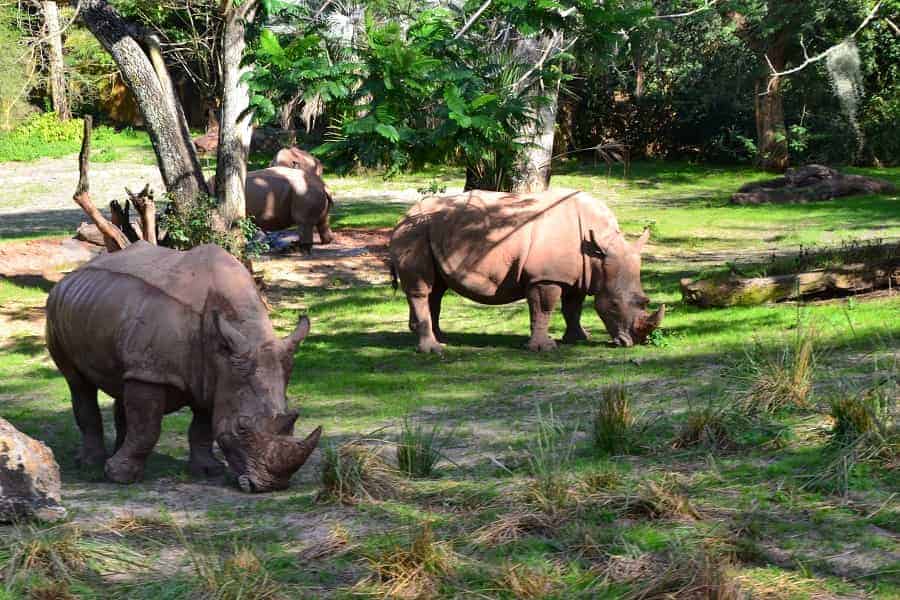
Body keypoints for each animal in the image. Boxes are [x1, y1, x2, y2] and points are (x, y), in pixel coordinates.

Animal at [45, 241, 322, 490]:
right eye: (241, 428)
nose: (272, 485)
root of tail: (74, 273)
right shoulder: (154, 371)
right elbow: (147, 427)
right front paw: (119, 477)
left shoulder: (217, 375)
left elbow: (202, 427)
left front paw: (208, 471)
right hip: (55, 308)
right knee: (79, 384)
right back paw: (90, 464)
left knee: (123, 383)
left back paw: (115, 453)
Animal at [386, 190, 660, 354]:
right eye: (613, 305)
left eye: (645, 301)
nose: (633, 343)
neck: (598, 250)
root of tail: (403, 216)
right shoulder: (545, 277)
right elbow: (544, 308)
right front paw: (543, 348)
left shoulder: (579, 275)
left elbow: (573, 307)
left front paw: (579, 339)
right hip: (415, 232)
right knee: (422, 289)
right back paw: (433, 348)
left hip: (432, 232)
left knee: (437, 289)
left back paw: (442, 337)